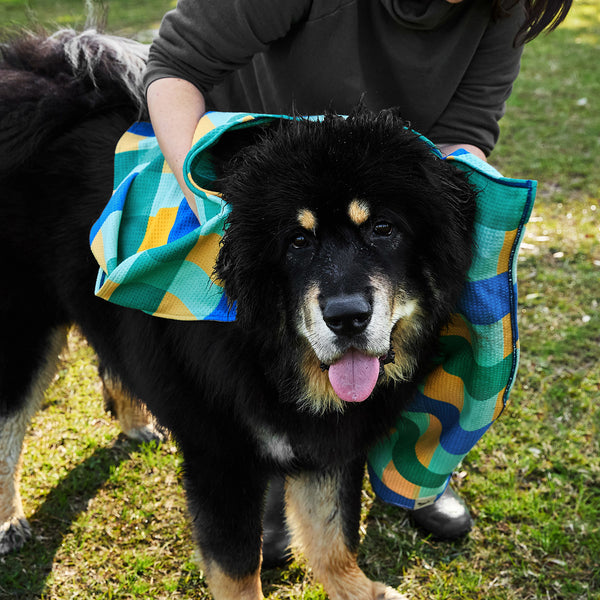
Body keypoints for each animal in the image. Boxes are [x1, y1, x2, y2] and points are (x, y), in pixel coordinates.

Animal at [1, 29, 478, 600]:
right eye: (297, 241)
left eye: (384, 230)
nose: (346, 317)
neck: (270, 354)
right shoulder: (220, 461)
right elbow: (238, 570)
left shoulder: (330, 444)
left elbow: (331, 533)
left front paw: (358, 589)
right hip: (22, 330)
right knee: (8, 423)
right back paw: (8, 520)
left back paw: (135, 421)